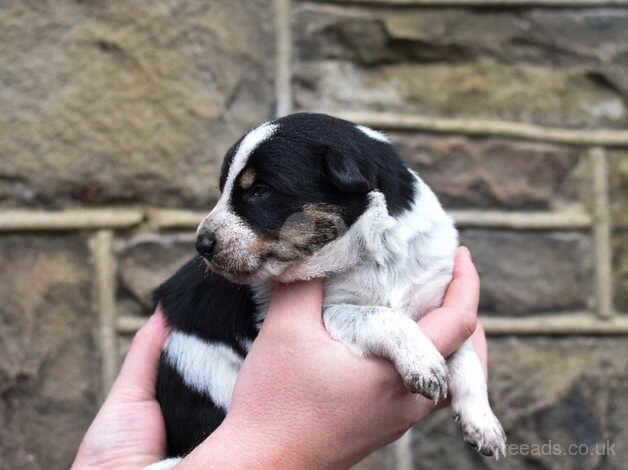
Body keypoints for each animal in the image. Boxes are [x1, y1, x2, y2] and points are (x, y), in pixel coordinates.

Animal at [146, 112, 506, 468]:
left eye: (260, 190)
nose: (201, 245)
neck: (372, 251)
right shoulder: (329, 312)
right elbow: (382, 316)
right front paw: (424, 364)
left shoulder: (436, 298)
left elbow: (466, 355)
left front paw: (483, 423)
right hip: (201, 370)